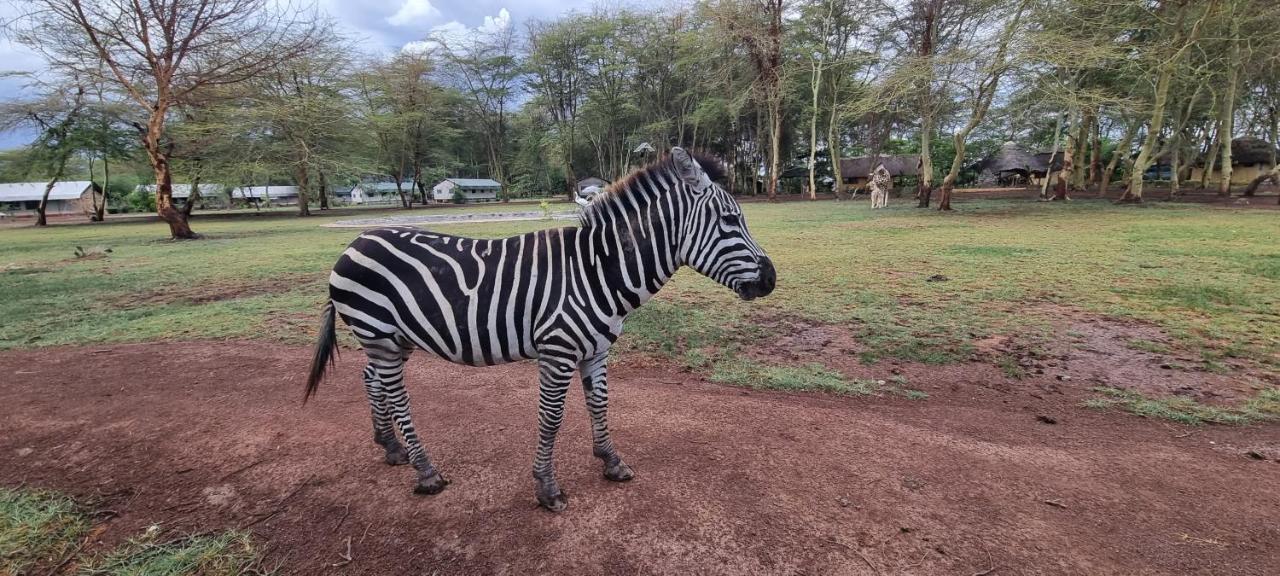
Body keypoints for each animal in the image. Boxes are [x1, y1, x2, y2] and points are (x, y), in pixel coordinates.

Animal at [304, 148, 773, 512]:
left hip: (390, 339)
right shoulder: (558, 351)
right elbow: (552, 418)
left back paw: (390, 447)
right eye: (730, 220)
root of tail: (353, 243)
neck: (597, 271)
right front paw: (547, 488)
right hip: (381, 336)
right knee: (397, 396)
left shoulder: (597, 350)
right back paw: (426, 471)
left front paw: (610, 461)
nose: (770, 280)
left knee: (370, 379)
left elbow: (600, 405)